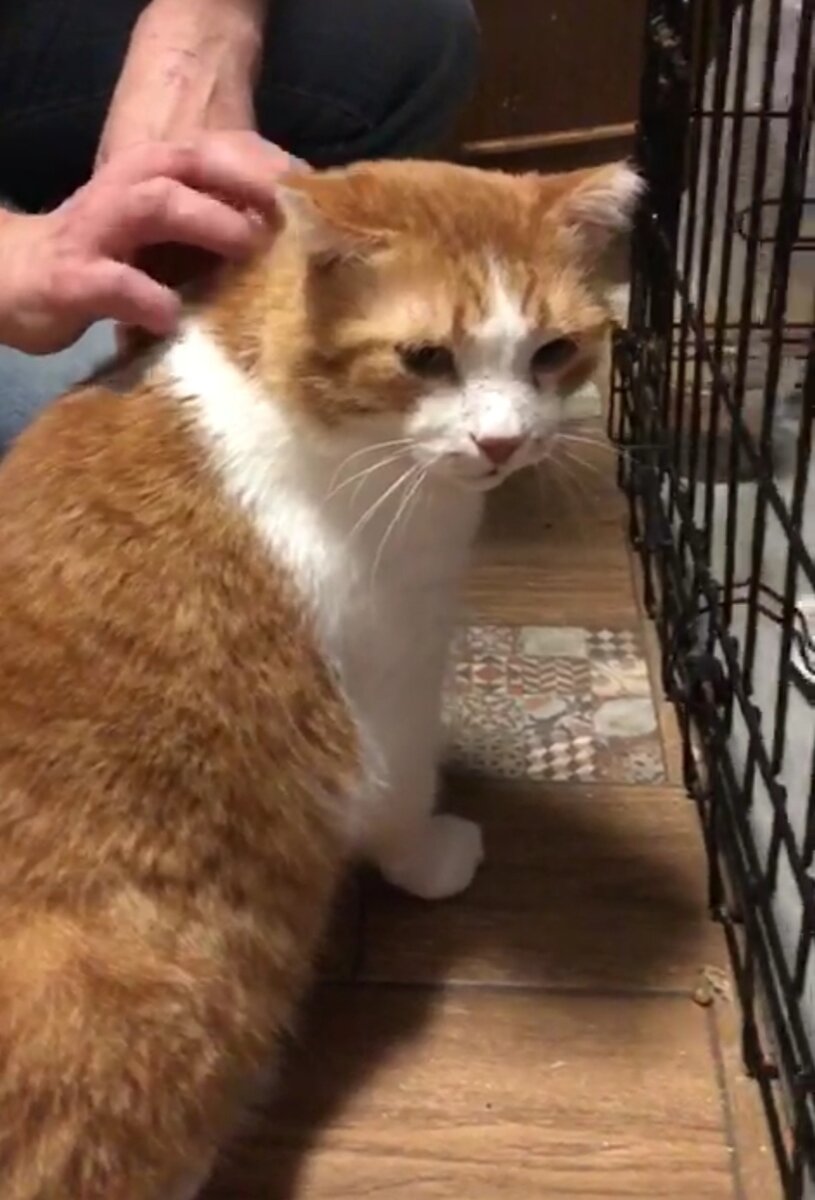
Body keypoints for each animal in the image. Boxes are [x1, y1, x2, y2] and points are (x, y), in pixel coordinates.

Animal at [0, 158, 640, 1199]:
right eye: (424, 358)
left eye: (552, 352)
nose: (504, 444)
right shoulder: (395, 680)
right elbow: (402, 796)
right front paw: (433, 858)